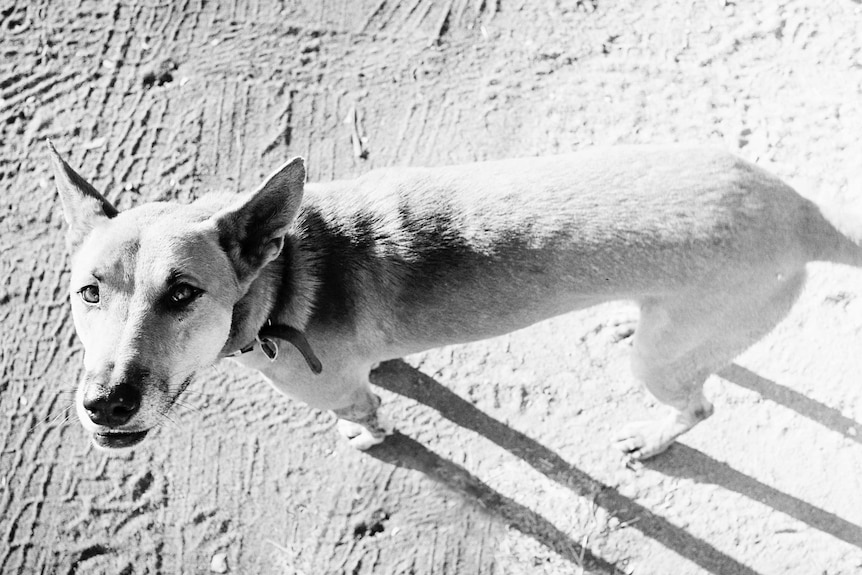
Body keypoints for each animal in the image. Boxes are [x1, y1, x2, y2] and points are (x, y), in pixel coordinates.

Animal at [49, 144, 862, 464]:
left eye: (182, 293)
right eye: (89, 292)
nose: (105, 404)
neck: (284, 279)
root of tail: (804, 212)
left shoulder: (337, 387)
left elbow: (365, 412)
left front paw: (368, 435)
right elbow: (390, 373)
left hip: (663, 364)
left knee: (700, 405)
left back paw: (654, 439)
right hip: (676, 329)